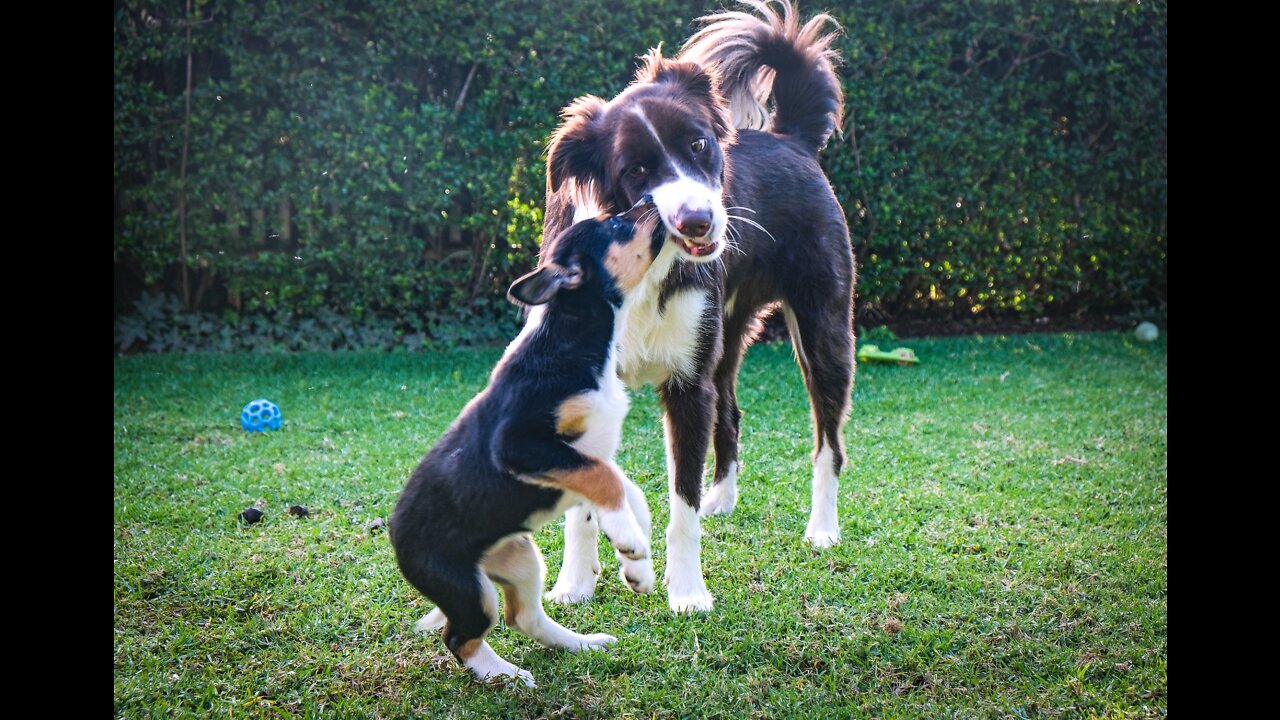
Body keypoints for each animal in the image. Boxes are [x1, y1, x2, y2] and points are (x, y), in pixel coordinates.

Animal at [389, 199, 660, 681]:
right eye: (616, 224)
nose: (651, 201)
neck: (579, 342)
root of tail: (394, 537)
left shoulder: (583, 453)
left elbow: (627, 489)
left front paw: (637, 562)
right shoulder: (518, 443)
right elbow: (607, 478)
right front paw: (629, 543)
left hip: (520, 560)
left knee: (525, 618)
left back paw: (583, 643)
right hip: (466, 588)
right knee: (461, 637)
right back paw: (505, 675)